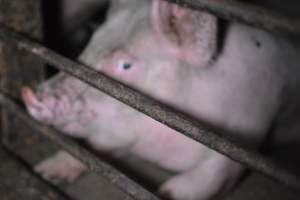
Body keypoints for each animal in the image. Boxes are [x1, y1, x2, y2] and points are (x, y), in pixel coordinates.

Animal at [21, 0, 300, 200]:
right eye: (90, 44)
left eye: (125, 65)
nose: (30, 95)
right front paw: (44, 171)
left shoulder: (250, 130)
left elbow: (212, 175)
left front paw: (164, 192)